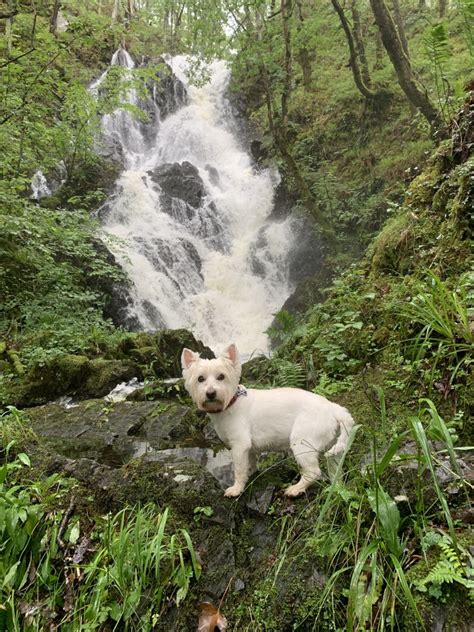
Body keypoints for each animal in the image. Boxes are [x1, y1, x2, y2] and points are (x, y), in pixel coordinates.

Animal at [180, 344, 354, 496]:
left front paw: (236, 488)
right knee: (336, 470)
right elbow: (249, 463)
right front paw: (250, 473)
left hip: (302, 441)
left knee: (313, 472)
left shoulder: (240, 445)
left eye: (221, 376)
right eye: (200, 379)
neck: (231, 403)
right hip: (333, 449)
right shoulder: (249, 448)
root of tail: (334, 409)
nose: (210, 393)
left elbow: (239, 469)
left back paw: (296, 489)